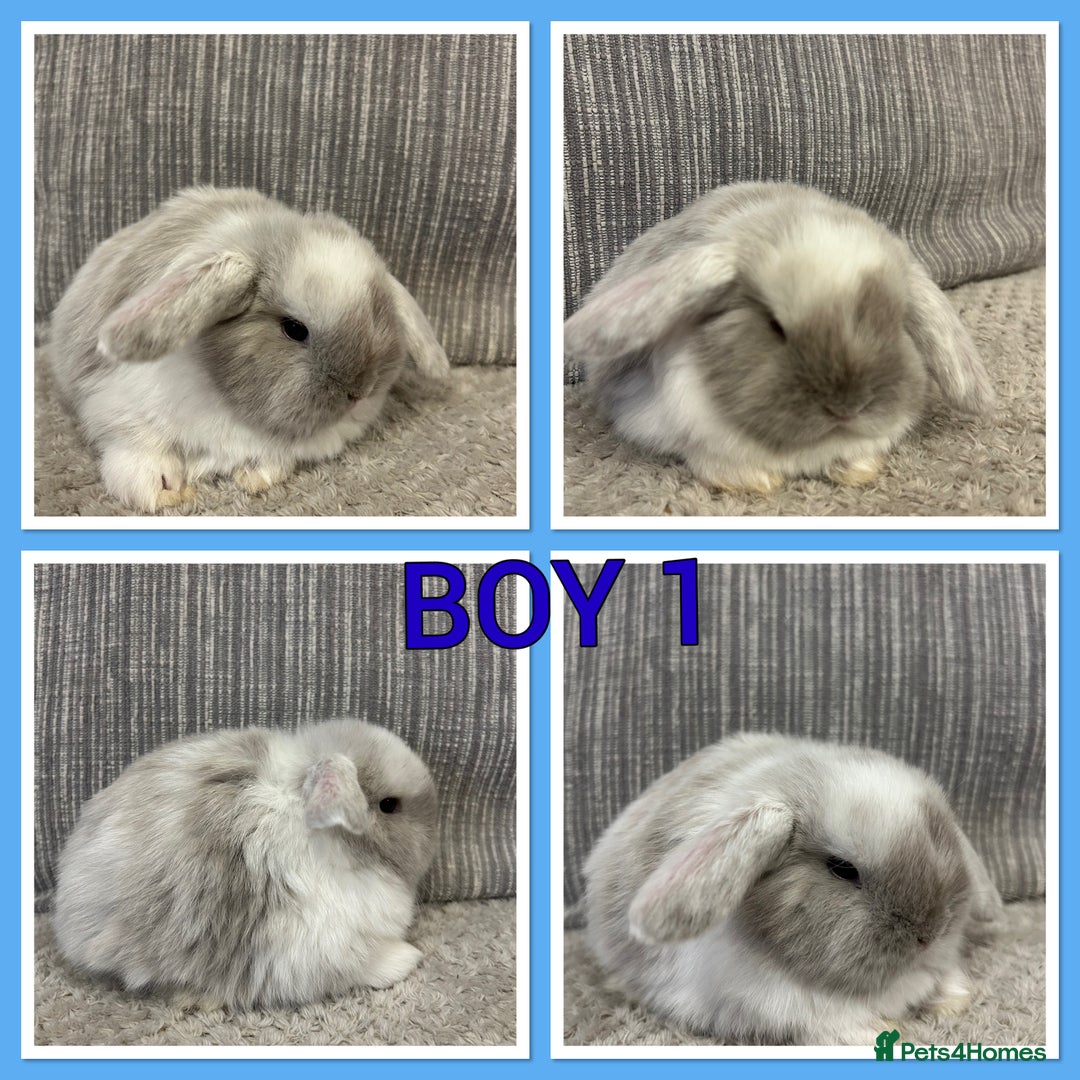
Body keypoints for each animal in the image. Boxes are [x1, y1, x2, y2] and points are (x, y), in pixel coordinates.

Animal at [46, 187, 451, 512]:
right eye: (294, 329)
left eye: (378, 313)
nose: (361, 392)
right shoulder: (117, 408)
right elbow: (139, 451)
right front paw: (163, 492)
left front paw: (252, 478)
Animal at [582, 733, 1003, 1045]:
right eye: (842, 868)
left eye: (942, 842)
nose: (929, 935)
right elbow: (836, 1028)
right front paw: (885, 1033)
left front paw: (954, 1002)